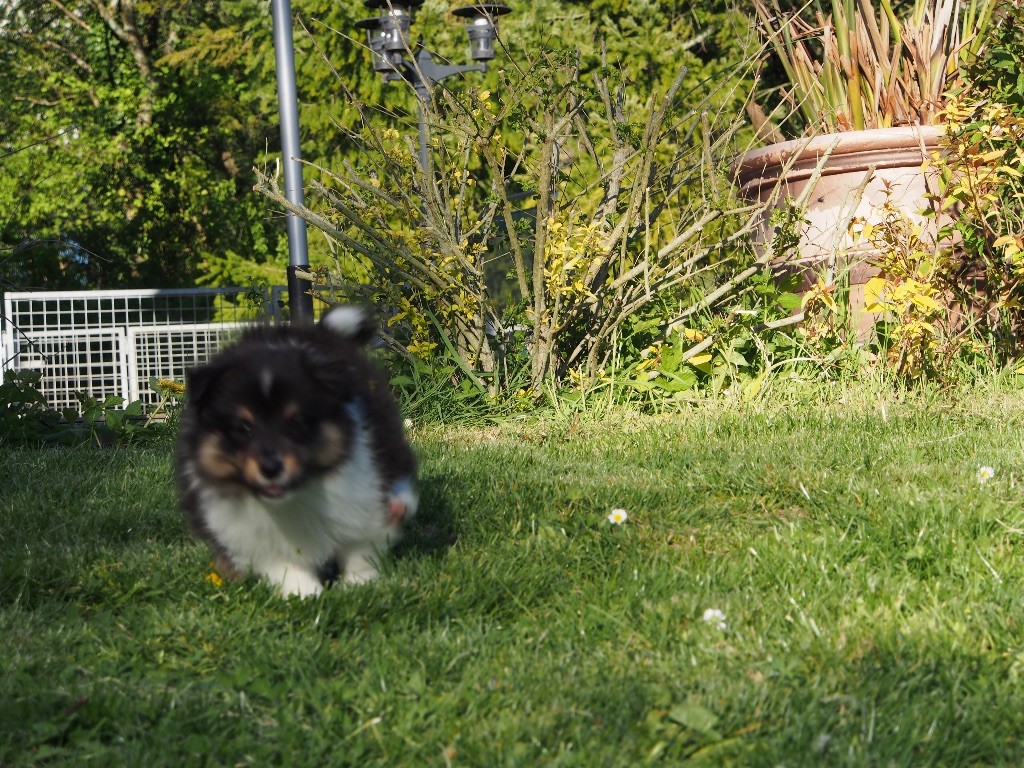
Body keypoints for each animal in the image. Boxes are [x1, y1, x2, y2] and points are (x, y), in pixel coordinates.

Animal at [175, 307, 415, 602]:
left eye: (296, 423)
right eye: (243, 428)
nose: (270, 468)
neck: (294, 496)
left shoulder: (360, 499)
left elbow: (361, 549)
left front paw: (359, 587)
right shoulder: (247, 534)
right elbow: (285, 566)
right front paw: (307, 595)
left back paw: (401, 503)